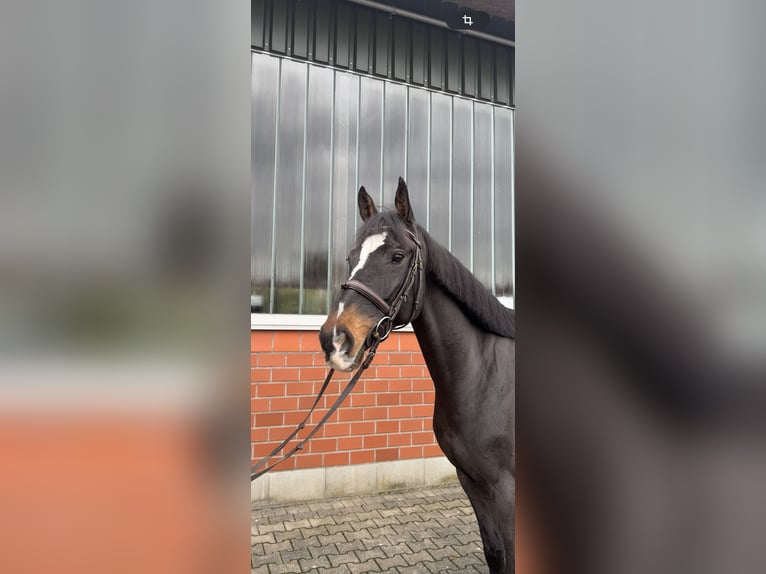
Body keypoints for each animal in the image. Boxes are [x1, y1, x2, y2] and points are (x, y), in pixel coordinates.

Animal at [319, 177, 516, 573]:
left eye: (397, 256)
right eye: (350, 258)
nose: (335, 339)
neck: (484, 378)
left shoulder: (506, 489)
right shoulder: (472, 482)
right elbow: (495, 554)